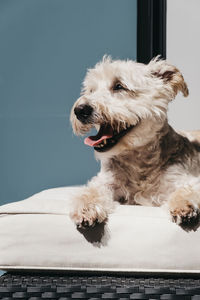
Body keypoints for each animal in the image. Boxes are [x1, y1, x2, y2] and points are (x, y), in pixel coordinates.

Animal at [69, 56, 200, 229]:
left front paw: (184, 204)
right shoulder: (105, 183)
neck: (137, 162)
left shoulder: (181, 178)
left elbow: (187, 189)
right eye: (91, 90)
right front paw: (86, 208)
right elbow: (90, 191)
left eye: (119, 86)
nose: (80, 110)